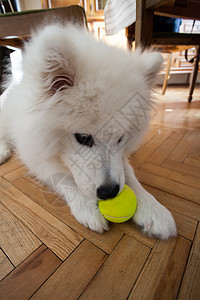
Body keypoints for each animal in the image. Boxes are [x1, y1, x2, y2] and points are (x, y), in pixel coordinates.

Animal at [0, 23, 176, 239]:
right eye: (83, 138)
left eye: (121, 138)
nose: (109, 192)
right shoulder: (35, 155)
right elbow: (63, 176)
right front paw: (86, 207)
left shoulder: (119, 159)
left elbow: (128, 172)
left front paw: (153, 208)